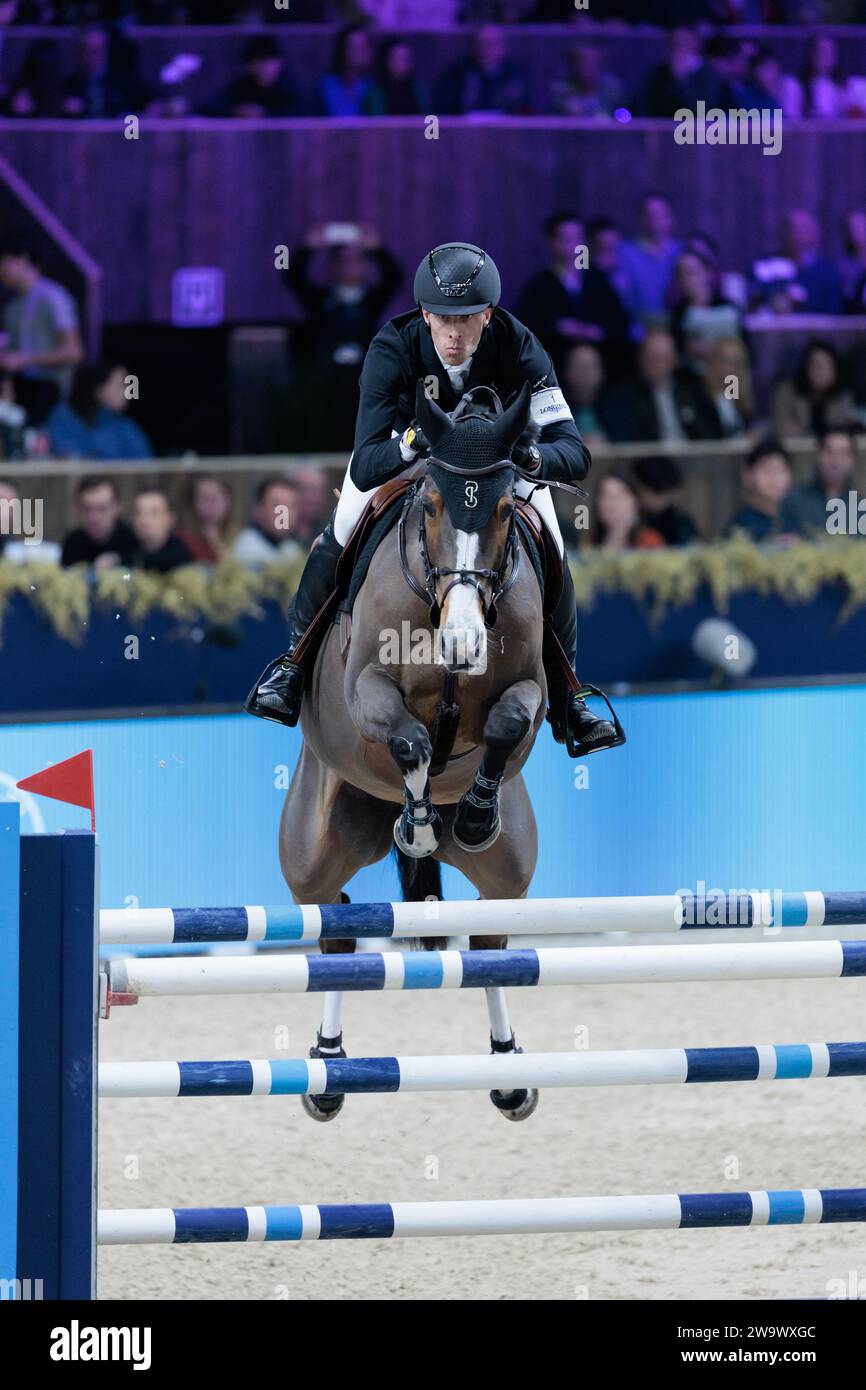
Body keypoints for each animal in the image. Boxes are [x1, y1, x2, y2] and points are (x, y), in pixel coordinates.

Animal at [279, 380, 547, 1117]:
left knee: (489, 941)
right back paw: (327, 1065)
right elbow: (410, 739)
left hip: (510, 870)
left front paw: (470, 814)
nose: (462, 641)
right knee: (337, 927)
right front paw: (420, 823)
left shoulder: (532, 691)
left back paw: (508, 1071)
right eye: (430, 505)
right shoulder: (366, 689)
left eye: (506, 507)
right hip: (312, 850)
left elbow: (508, 723)